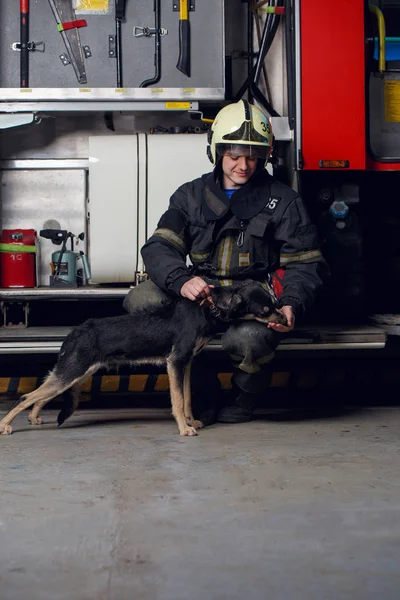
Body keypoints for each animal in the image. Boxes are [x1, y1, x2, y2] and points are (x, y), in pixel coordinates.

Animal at [0, 282, 286, 436]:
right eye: (265, 311)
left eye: (274, 303)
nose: (285, 319)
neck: (207, 309)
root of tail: (76, 332)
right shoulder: (175, 361)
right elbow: (178, 401)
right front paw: (184, 429)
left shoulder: (186, 364)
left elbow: (187, 398)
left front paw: (192, 421)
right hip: (73, 370)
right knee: (27, 397)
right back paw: (6, 426)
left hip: (76, 371)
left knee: (41, 394)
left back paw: (34, 417)